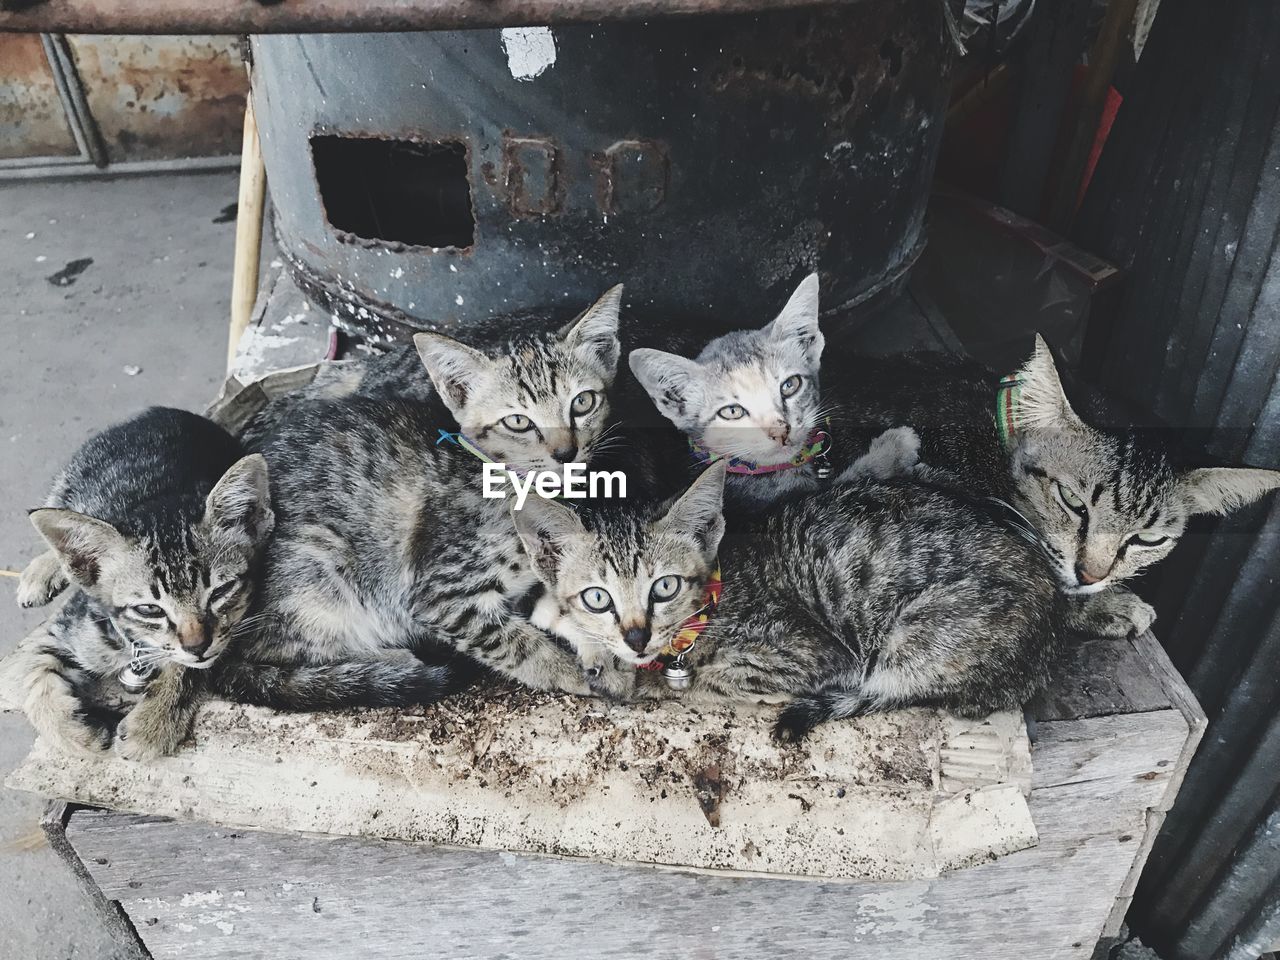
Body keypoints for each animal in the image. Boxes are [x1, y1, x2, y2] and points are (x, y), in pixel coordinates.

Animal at [5, 409, 272, 762]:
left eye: (220, 592)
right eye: (149, 609)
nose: (197, 646)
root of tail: (162, 411)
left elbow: (189, 665)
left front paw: (153, 721)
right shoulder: (65, 627)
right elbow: (32, 677)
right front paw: (74, 735)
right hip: (70, 482)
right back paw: (42, 570)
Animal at [213, 285, 645, 716]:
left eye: (582, 402)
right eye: (518, 422)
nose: (565, 452)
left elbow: (565, 601)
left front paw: (605, 659)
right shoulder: (440, 595)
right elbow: (517, 645)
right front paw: (569, 673)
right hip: (320, 569)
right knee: (282, 650)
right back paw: (390, 662)